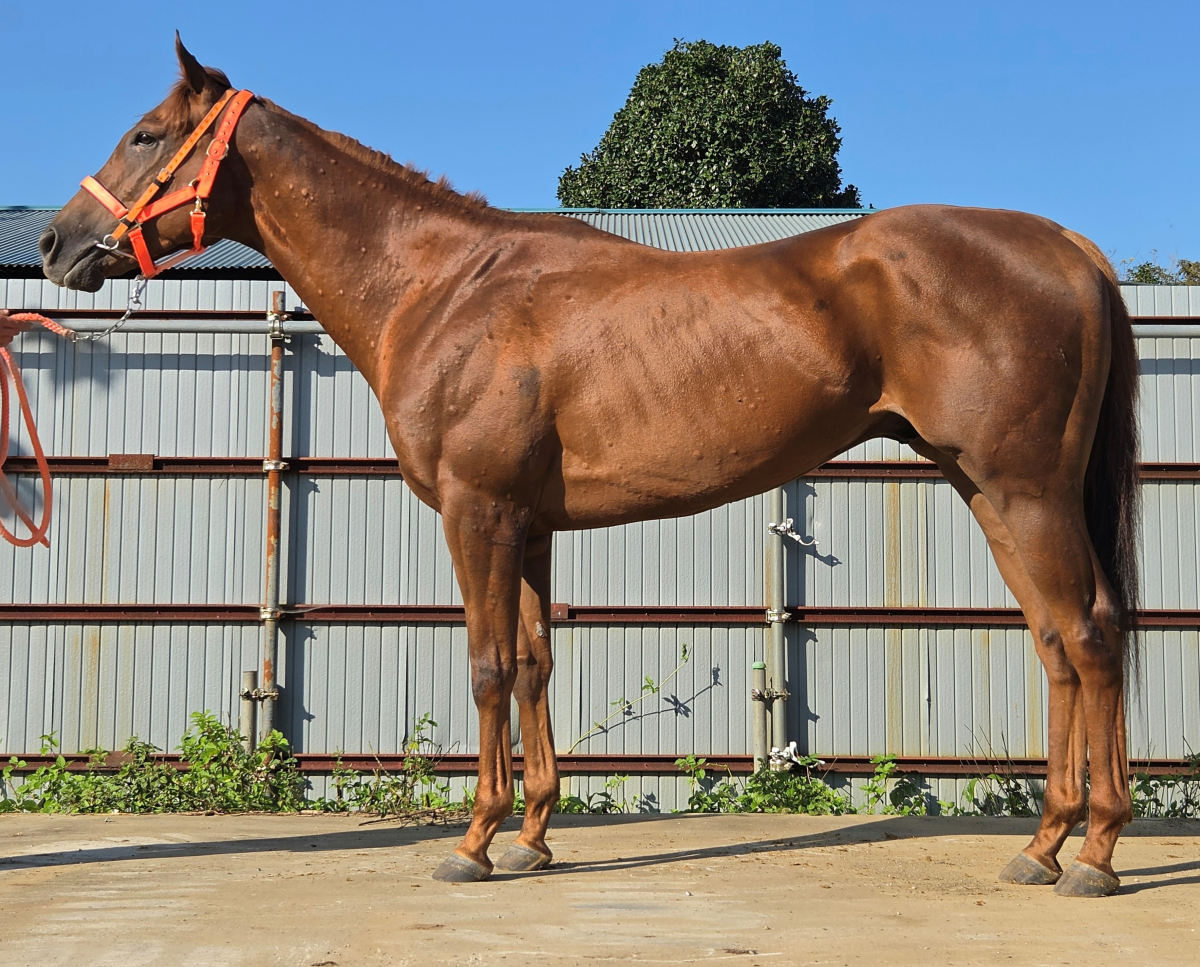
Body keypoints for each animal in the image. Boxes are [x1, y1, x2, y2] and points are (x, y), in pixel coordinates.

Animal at [38, 36, 1140, 897]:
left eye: (145, 134)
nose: (54, 243)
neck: (444, 286)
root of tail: (1072, 247)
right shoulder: (528, 526)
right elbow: (534, 662)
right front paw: (532, 836)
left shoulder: (478, 513)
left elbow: (487, 665)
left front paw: (475, 842)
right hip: (989, 491)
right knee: (1055, 642)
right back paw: (1044, 845)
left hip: (1026, 492)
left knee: (1089, 636)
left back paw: (1093, 852)